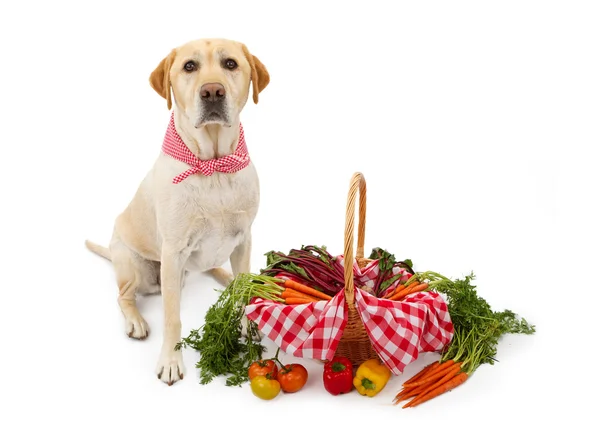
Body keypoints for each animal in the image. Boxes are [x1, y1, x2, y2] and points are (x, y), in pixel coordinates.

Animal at [84, 38, 270, 386]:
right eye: (189, 67)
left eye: (230, 64)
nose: (212, 91)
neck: (214, 167)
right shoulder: (172, 253)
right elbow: (173, 318)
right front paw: (171, 361)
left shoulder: (243, 240)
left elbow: (241, 294)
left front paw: (246, 324)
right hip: (134, 265)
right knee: (124, 295)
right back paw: (135, 321)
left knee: (226, 274)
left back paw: (232, 278)